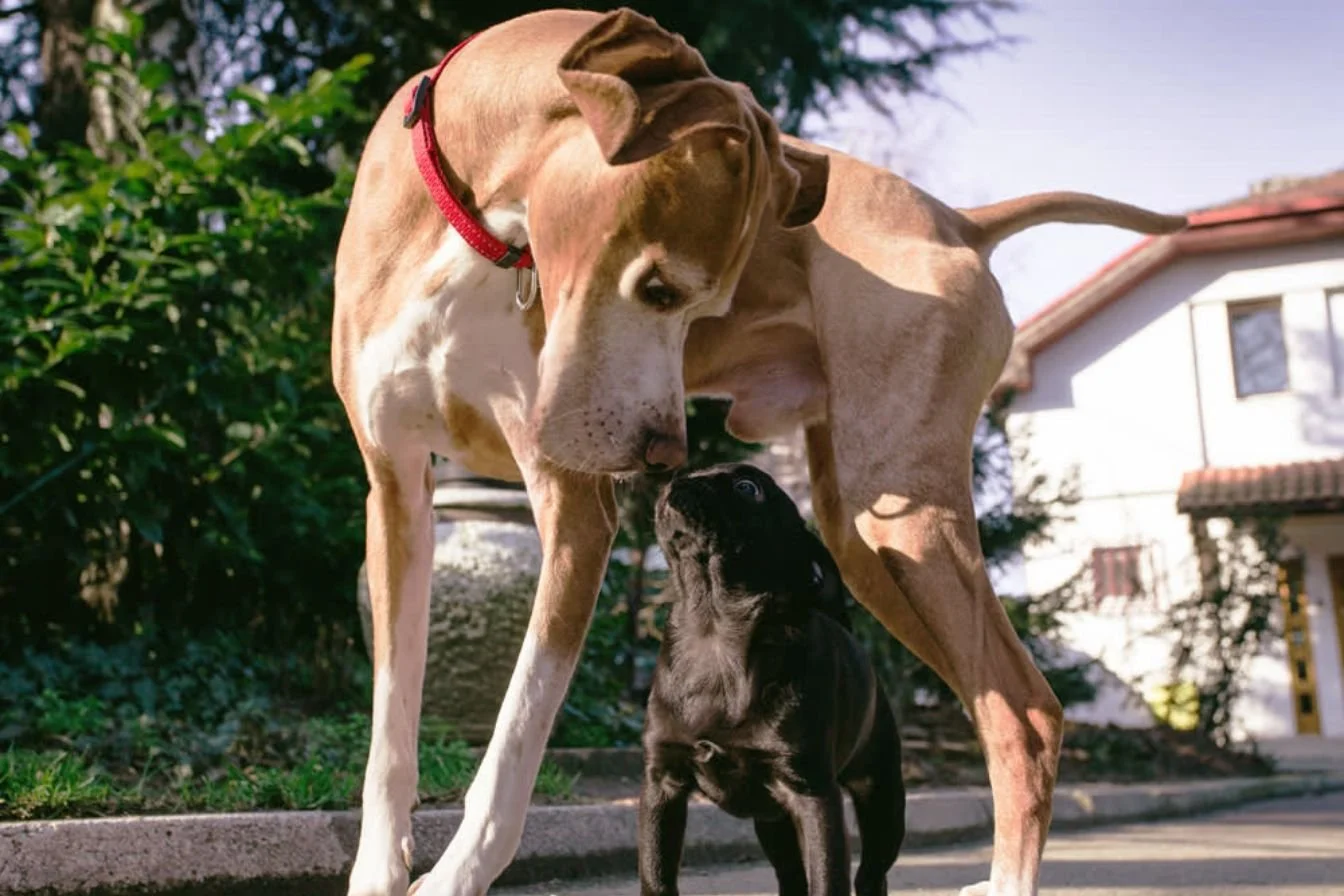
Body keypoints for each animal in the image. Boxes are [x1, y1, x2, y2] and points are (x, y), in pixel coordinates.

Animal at [640, 463, 904, 896]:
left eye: (748, 488)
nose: (676, 481)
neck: (714, 631)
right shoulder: (663, 784)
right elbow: (656, 876)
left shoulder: (813, 794)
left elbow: (828, 878)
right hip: (773, 824)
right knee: (791, 875)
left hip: (881, 801)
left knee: (870, 872)